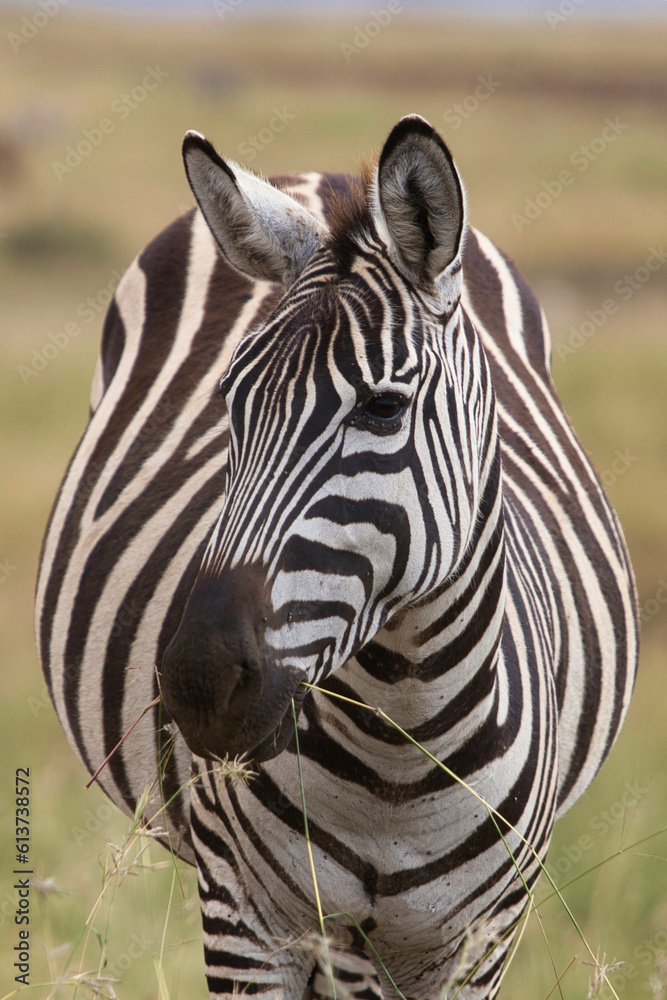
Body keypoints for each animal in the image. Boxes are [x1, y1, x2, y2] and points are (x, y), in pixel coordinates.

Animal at [36, 115, 638, 998]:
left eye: (383, 408)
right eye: (228, 405)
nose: (198, 682)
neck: (395, 760)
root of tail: (325, 180)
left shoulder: (482, 942)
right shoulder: (245, 919)